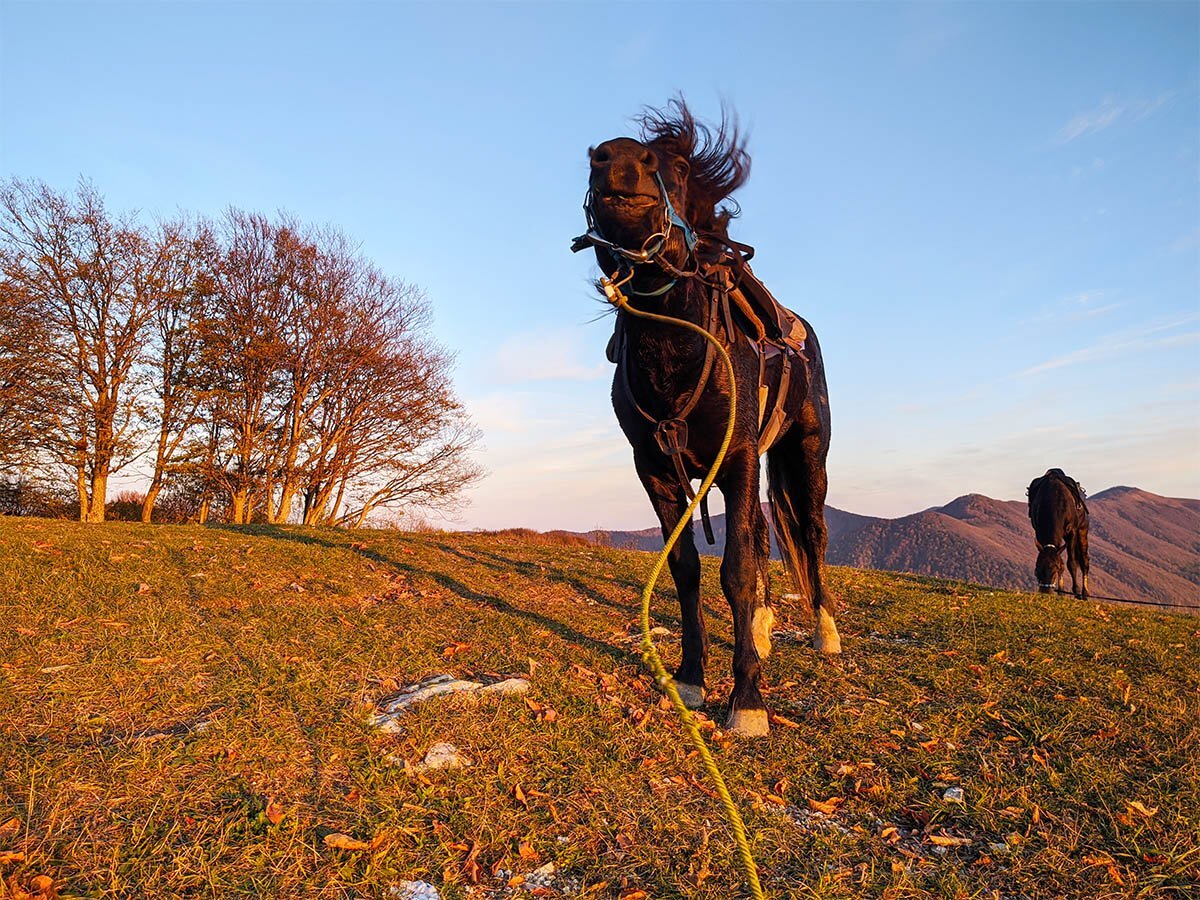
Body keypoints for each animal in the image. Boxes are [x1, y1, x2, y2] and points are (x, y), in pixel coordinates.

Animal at [573, 102, 840, 739]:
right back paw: (763, 631)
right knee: (767, 534)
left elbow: (737, 570)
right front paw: (691, 677)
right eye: (597, 160)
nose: (619, 158)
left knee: (811, 533)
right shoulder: (656, 471)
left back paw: (824, 632)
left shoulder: (737, 461)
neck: (675, 348)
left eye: (672, 166)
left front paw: (747, 701)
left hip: (807, 459)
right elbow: (687, 569)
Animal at [1022, 472, 1089, 600]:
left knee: (1084, 560)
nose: (1046, 592)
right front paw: (1061, 592)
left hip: (1082, 531)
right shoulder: (1039, 533)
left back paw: (1085, 593)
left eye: (1056, 569)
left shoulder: (1072, 532)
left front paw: (1076, 591)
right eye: (1037, 570)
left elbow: (1071, 563)